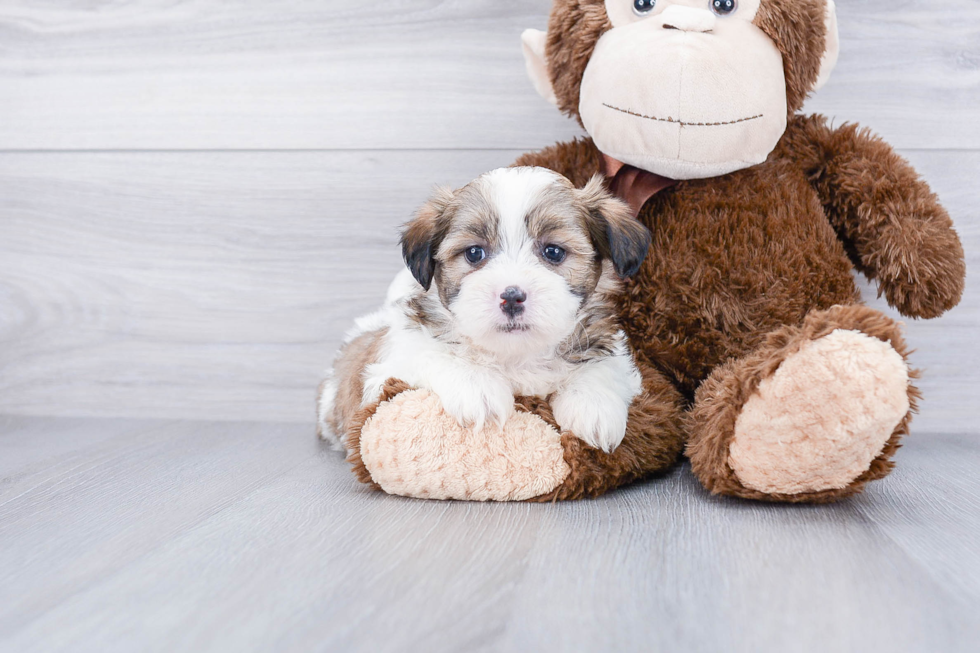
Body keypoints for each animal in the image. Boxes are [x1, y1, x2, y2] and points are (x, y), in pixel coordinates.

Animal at [320, 168, 652, 450]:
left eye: (554, 252)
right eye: (474, 253)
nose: (512, 297)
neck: (516, 355)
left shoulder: (613, 351)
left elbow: (603, 366)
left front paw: (593, 406)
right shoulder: (390, 366)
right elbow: (435, 353)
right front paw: (477, 387)